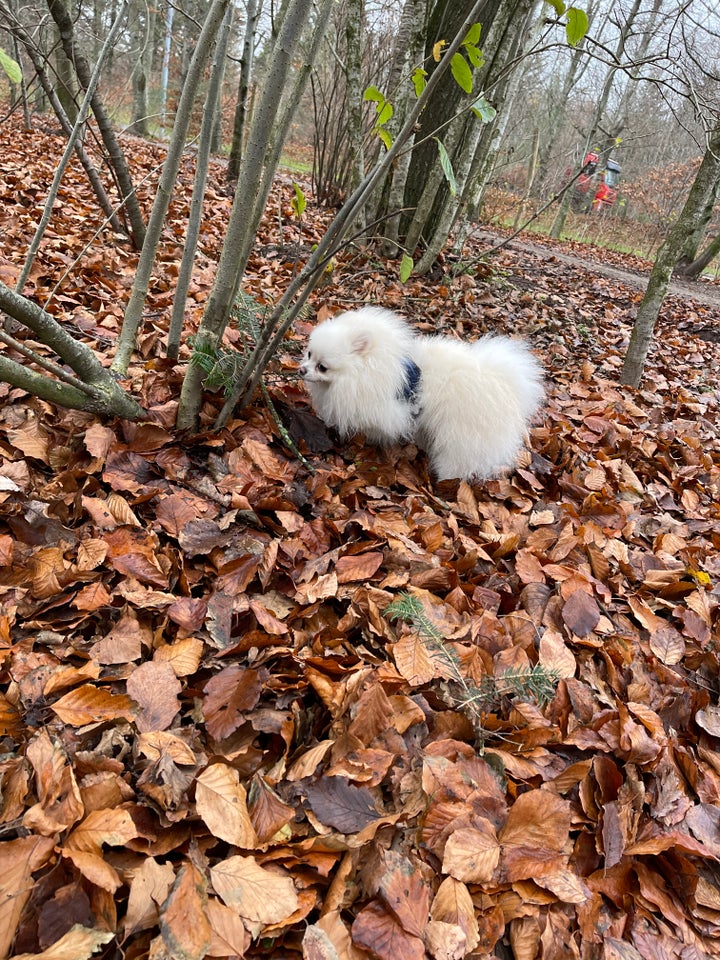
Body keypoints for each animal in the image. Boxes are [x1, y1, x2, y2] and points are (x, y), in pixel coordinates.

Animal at [296, 308, 540, 480]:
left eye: (322, 367)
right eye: (309, 354)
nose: (302, 370)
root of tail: (503, 383)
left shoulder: (385, 412)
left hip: (462, 436)